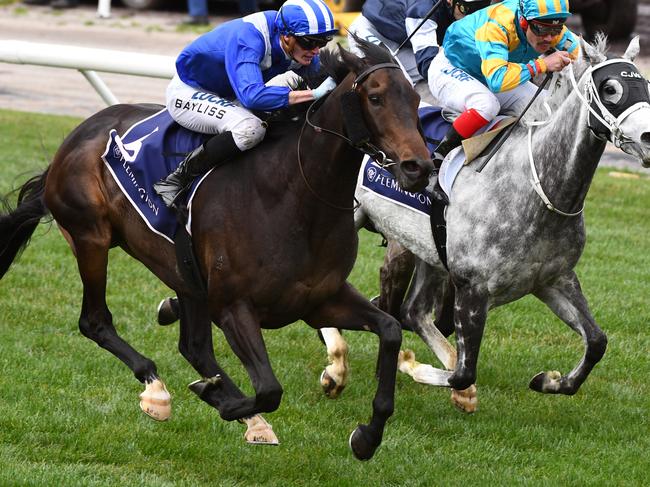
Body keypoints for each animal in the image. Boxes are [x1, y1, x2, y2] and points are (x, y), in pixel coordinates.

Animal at [1, 41, 436, 462]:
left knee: (193, 347)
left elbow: (390, 329)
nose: (418, 167)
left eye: (416, 99)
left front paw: (367, 436)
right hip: (91, 238)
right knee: (96, 321)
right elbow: (269, 389)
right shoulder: (233, 305)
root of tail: (77, 135)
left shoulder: (319, 300)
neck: (296, 196)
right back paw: (158, 389)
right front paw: (222, 401)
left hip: (185, 276)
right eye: (375, 98)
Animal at [318, 36, 648, 410]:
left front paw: (550, 380)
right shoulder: (472, 288)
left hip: (426, 250)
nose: (649, 138)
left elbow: (596, 341)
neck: (535, 190)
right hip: (349, 216)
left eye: (647, 86)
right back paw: (337, 367)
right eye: (610, 89)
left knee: (414, 311)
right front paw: (414, 367)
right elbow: (463, 372)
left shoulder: (554, 279)